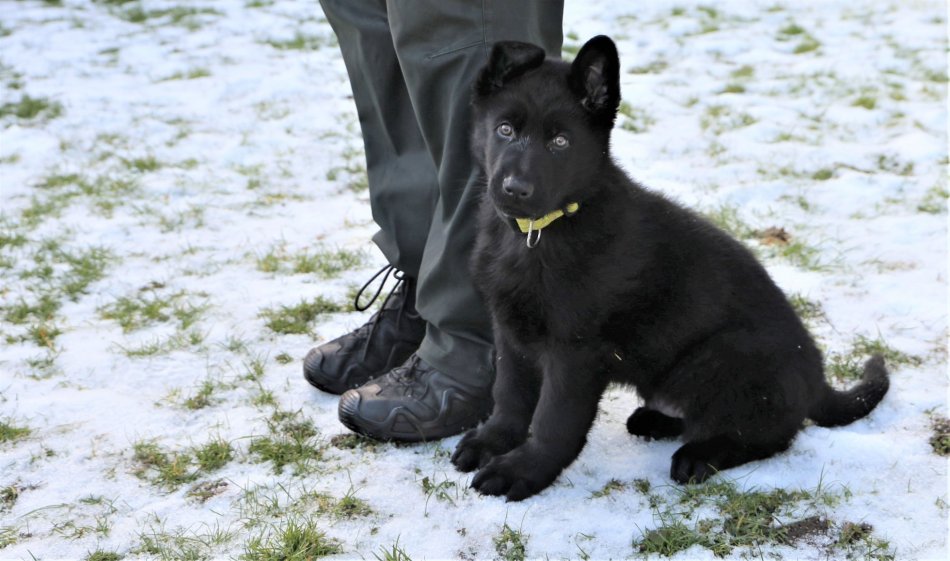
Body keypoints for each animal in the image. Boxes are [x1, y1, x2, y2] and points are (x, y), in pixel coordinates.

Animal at [449, 35, 889, 502]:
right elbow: (509, 394)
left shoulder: (575, 350)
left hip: (720, 358)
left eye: (561, 142)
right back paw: (655, 419)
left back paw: (698, 454)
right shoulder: (509, 330)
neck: (536, 234)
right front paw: (493, 441)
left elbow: (553, 420)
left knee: (768, 433)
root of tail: (817, 380)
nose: (515, 189)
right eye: (505, 130)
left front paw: (523, 470)